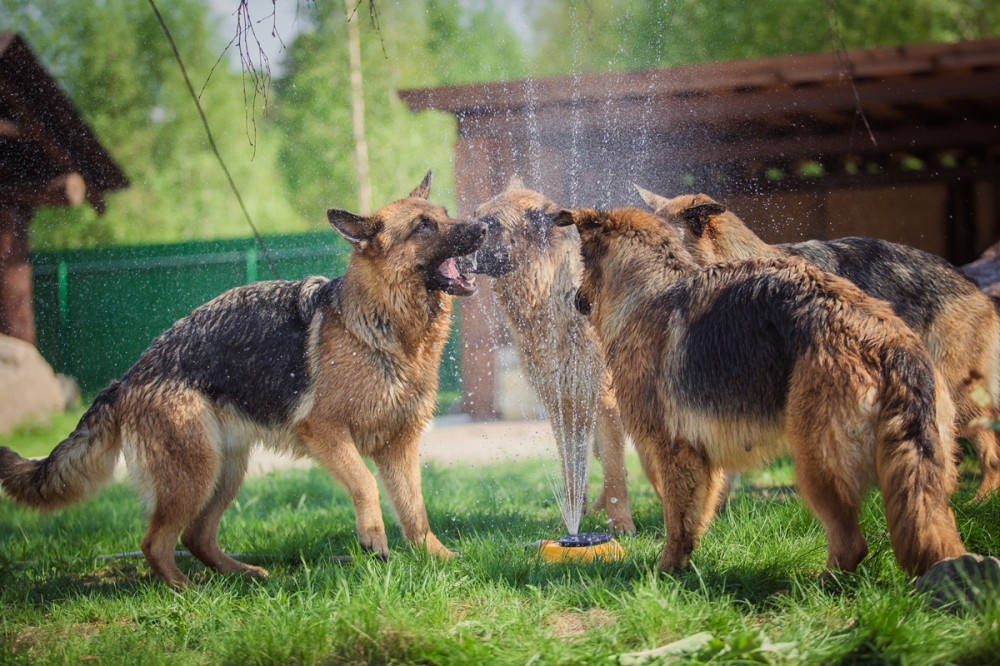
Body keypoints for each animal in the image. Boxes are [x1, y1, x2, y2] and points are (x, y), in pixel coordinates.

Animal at [0, 172, 484, 588]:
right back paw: (188, 592)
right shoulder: (326, 431)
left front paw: (438, 558)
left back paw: (241, 576)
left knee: (195, 536)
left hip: (225, 471)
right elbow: (364, 483)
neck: (384, 326)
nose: (483, 227)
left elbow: (415, 511)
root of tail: (129, 376)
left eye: (444, 213)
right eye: (424, 226)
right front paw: (373, 538)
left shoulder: (399, 446)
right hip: (194, 472)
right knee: (155, 542)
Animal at [470, 178, 640, 536]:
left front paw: (621, 525)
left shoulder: (604, 403)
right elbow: (573, 475)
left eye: (491, 224)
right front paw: (571, 523)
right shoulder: (564, 407)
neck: (552, 294)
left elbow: (615, 475)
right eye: (474, 216)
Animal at [556, 205, 968, 572]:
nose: (572, 300)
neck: (652, 287)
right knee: (934, 525)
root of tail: (890, 342)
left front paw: (664, 572)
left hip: (815, 462)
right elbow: (697, 518)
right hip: (924, 471)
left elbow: (676, 521)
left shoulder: (673, 450)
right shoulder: (704, 460)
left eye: (581, 260)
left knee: (851, 543)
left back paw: (823, 582)